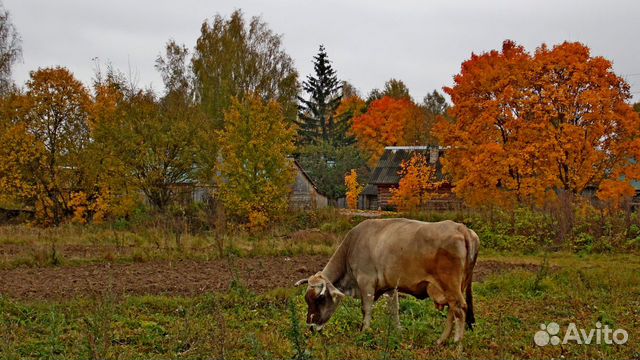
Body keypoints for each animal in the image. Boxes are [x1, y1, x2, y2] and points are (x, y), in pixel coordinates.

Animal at [292, 218, 478, 344]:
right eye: (307, 299)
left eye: (321, 298)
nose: (311, 326)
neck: (352, 245)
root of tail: (461, 227)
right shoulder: (391, 287)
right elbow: (394, 310)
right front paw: (398, 330)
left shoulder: (366, 281)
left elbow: (366, 309)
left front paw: (364, 331)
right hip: (457, 286)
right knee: (453, 311)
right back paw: (441, 341)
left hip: (450, 285)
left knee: (459, 309)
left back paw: (456, 343)